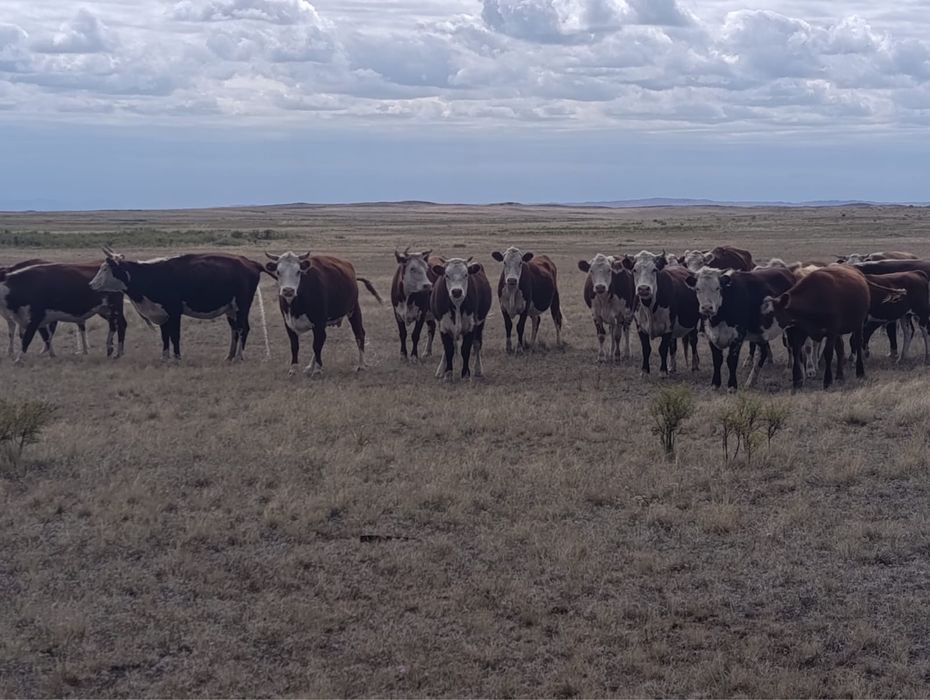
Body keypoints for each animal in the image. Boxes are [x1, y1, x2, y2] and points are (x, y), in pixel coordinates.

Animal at [90, 249, 264, 362]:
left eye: (105, 269)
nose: (91, 285)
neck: (151, 275)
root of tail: (250, 262)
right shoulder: (162, 313)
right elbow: (165, 335)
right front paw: (165, 357)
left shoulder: (174, 312)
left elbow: (175, 335)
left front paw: (177, 357)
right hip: (231, 310)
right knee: (235, 330)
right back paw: (229, 356)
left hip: (242, 307)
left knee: (243, 329)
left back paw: (239, 357)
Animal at [764, 266, 899, 390]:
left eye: (771, 315)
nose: (762, 334)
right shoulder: (800, 333)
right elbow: (798, 353)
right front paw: (797, 380)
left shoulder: (831, 332)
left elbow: (827, 353)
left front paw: (827, 381)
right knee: (840, 349)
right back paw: (839, 376)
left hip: (858, 325)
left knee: (857, 343)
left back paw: (860, 372)